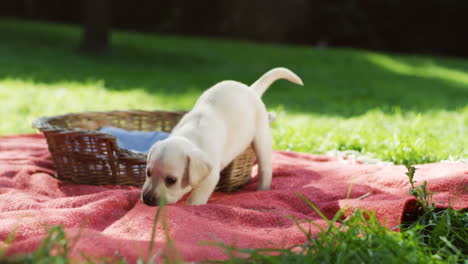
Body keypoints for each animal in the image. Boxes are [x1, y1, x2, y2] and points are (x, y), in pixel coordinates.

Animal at [142, 67, 304, 205]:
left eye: (171, 180)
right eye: (148, 173)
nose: (147, 199)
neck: (190, 136)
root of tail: (250, 89)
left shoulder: (211, 175)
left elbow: (197, 198)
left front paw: (190, 206)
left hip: (261, 137)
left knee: (265, 169)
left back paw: (262, 190)